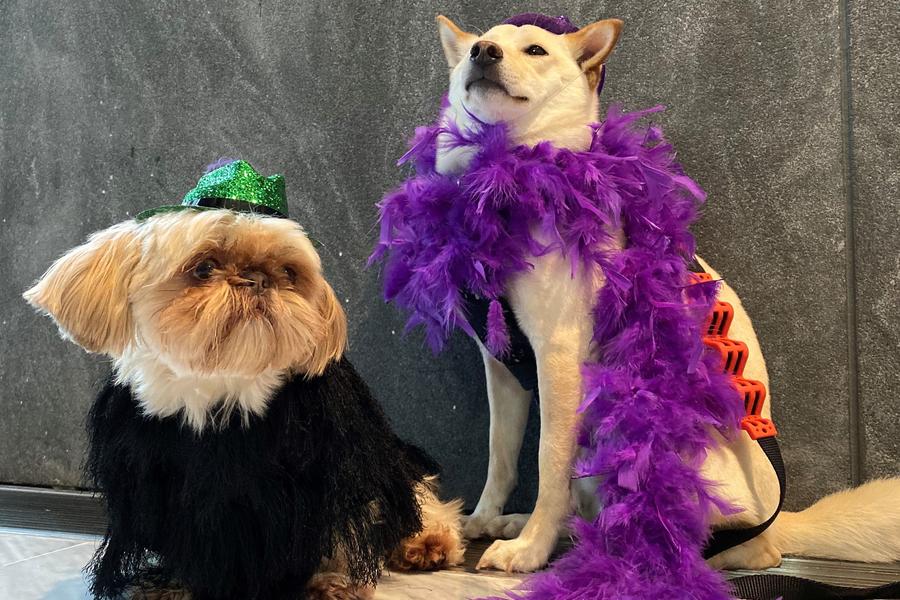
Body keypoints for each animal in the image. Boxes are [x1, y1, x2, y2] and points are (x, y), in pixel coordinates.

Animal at [432, 16, 896, 576]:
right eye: (476, 49)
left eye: (536, 50)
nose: (483, 52)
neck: (509, 178)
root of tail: (777, 520)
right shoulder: (502, 366)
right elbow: (500, 456)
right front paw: (485, 516)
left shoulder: (558, 354)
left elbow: (548, 463)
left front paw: (530, 549)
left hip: (654, 439)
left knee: (736, 544)